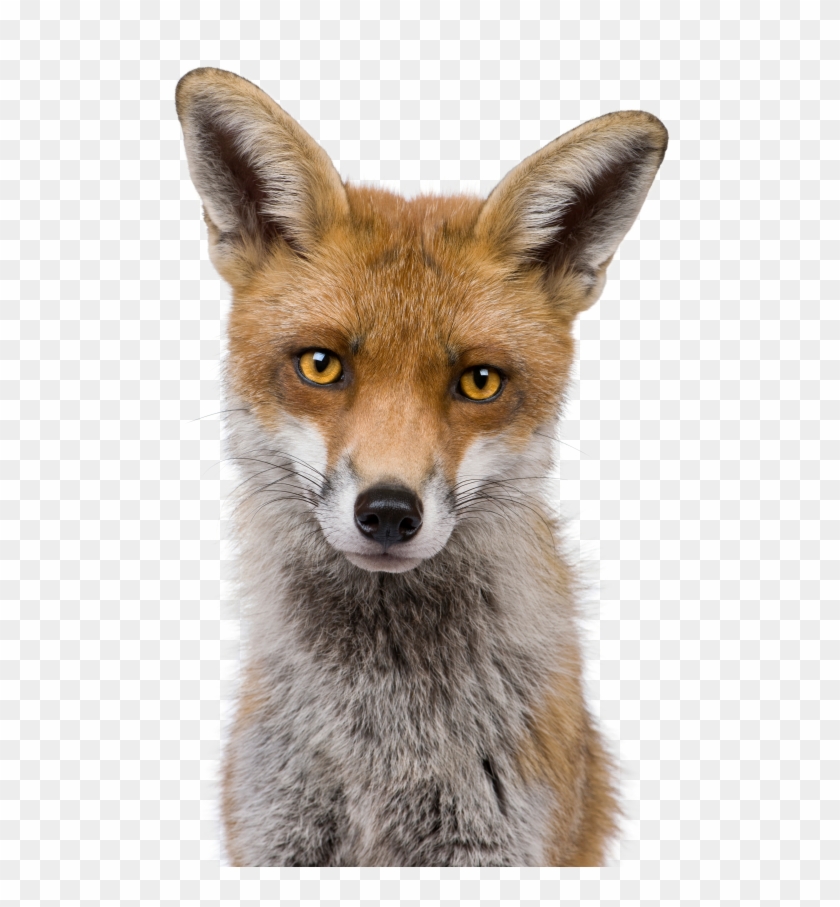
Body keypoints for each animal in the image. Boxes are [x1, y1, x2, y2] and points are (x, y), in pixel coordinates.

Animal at [175, 67, 667, 867]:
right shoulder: (276, 835)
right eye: (321, 365)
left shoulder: (494, 845)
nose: (387, 512)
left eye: (480, 381)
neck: (383, 733)